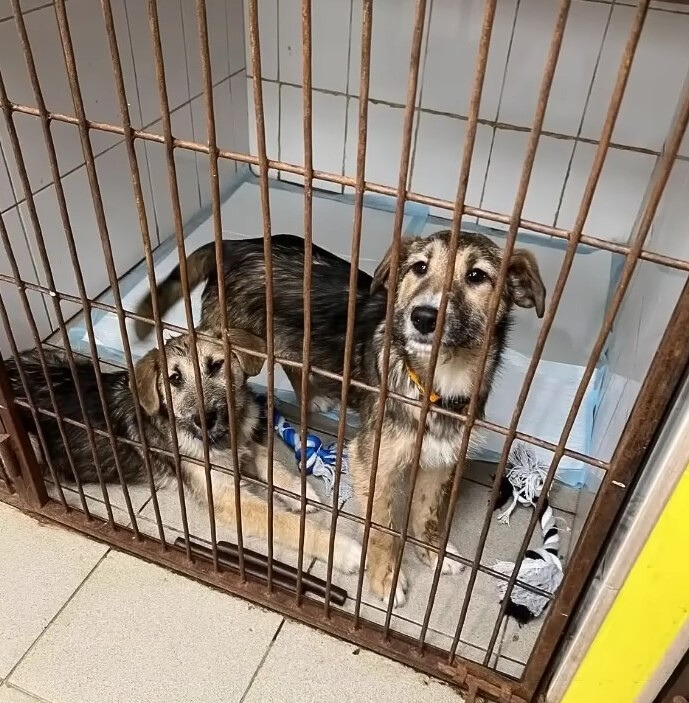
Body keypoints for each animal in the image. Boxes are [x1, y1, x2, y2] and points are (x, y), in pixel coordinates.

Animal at [134, 231, 544, 604]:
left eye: (477, 276)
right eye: (419, 268)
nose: (423, 317)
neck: (437, 382)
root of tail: (237, 243)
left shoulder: (441, 458)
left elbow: (425, 514)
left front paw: (432, 553)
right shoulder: (371, 459)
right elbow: (380, 526)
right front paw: (385, 578)